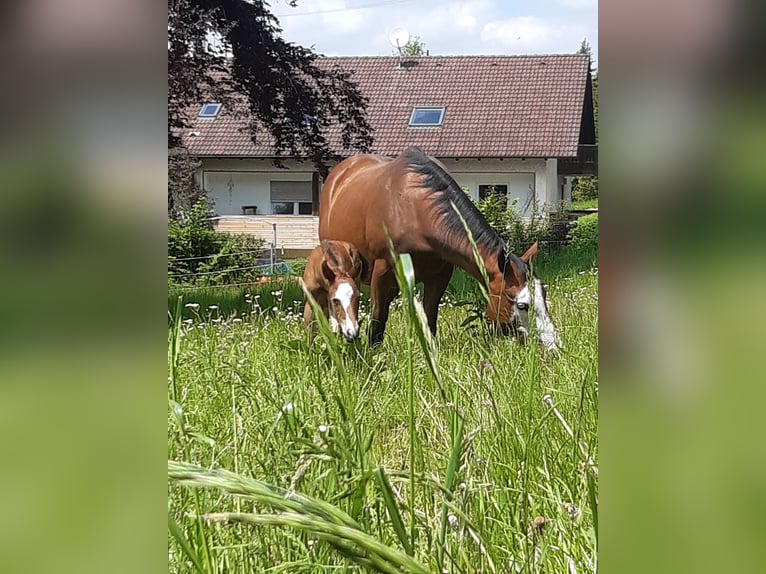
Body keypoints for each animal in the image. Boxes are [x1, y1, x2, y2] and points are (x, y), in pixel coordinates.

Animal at [320, 148, 540, 346]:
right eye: (518, 302)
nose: (523, 340)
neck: (412, 208)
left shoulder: (439, 276)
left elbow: (430, 321)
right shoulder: (382, 274)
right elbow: (378, 321)